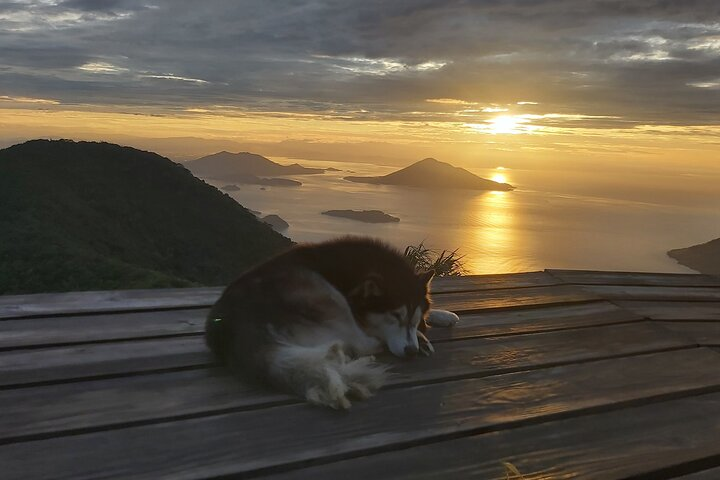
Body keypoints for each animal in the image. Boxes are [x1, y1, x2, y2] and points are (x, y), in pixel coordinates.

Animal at [205, 236, 458, 408]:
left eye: (413, 318)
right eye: (395, 316)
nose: (411, 351)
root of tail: (232, 326)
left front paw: (440, 316)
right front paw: (422, 335)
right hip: (320, 289)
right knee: (361, 344)